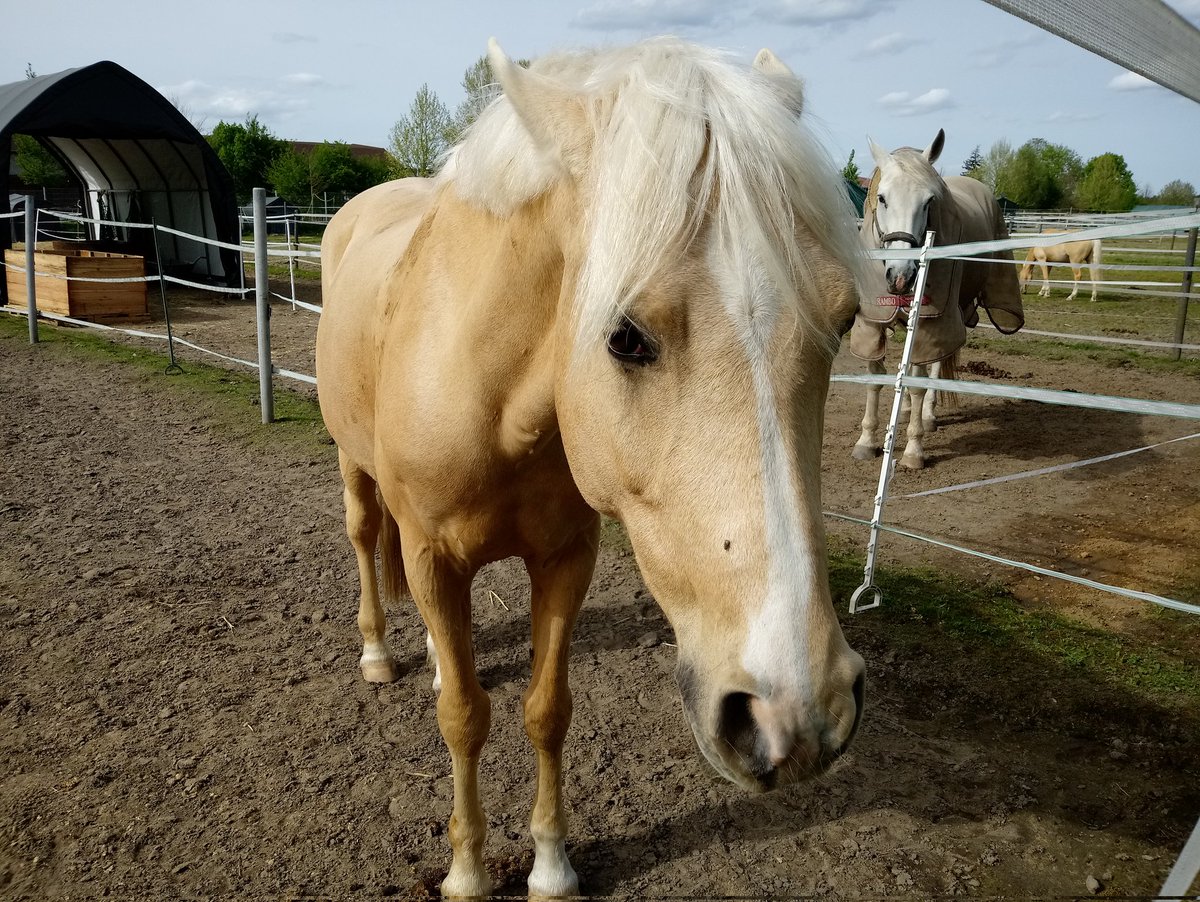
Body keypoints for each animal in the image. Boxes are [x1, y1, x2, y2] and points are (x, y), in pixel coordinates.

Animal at [314, 37, 868, 902]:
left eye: (843, 320)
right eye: (625, 337)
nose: (798, 717)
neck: (495, 399)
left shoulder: (564, 558)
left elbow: (547, 709)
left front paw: (550, 866)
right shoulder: (433, 555)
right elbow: (465, 718)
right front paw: (467, 871)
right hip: (355, 471)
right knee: (367, 539)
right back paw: (380, 654)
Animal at [849, 129, 1027, 467]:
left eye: (929, 202)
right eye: (882, 198)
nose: (901, 277)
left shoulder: (929, 321)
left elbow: (920, 382)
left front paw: (913, 449)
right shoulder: (872, 322)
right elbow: (874, 379)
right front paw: (866, 442)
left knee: (936, 363)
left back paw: (928, 415)